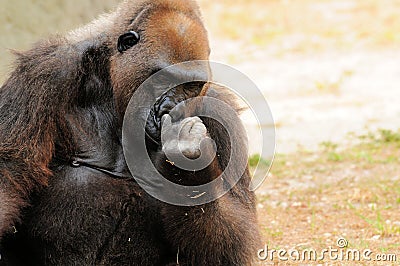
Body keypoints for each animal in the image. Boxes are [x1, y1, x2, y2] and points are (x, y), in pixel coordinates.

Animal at [0, 0, 260, 264]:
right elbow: (9, 173)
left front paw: (190, 157)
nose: (173, 109)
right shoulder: (48, 70)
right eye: (163, 77)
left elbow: (233, 245)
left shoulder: (221, 113)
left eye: (191, 86)